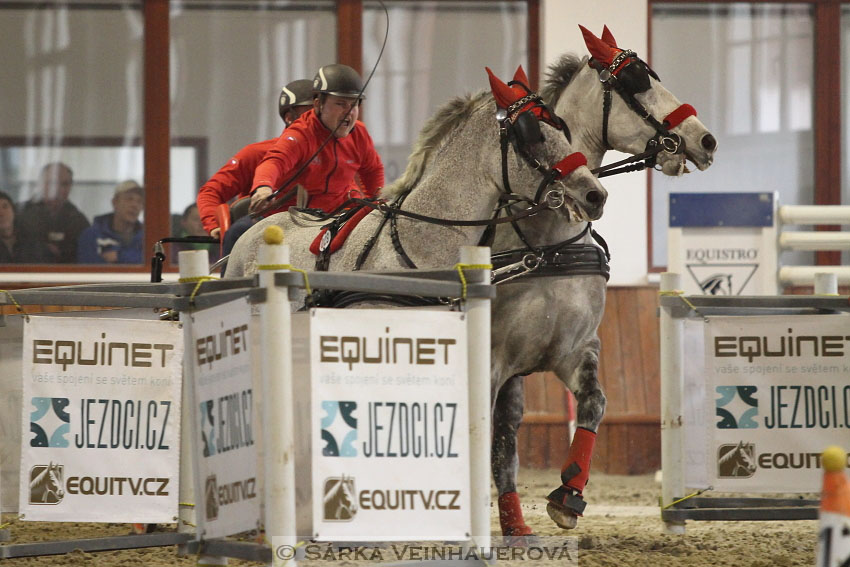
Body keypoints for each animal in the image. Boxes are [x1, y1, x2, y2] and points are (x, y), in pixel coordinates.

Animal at [490, 25, 716, 540]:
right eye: (636, 81)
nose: (706, 139)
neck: (545, 242)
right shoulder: (499, 356)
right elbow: (495, 435)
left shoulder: (575, 347)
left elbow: (593, 404)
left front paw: (568, 495)